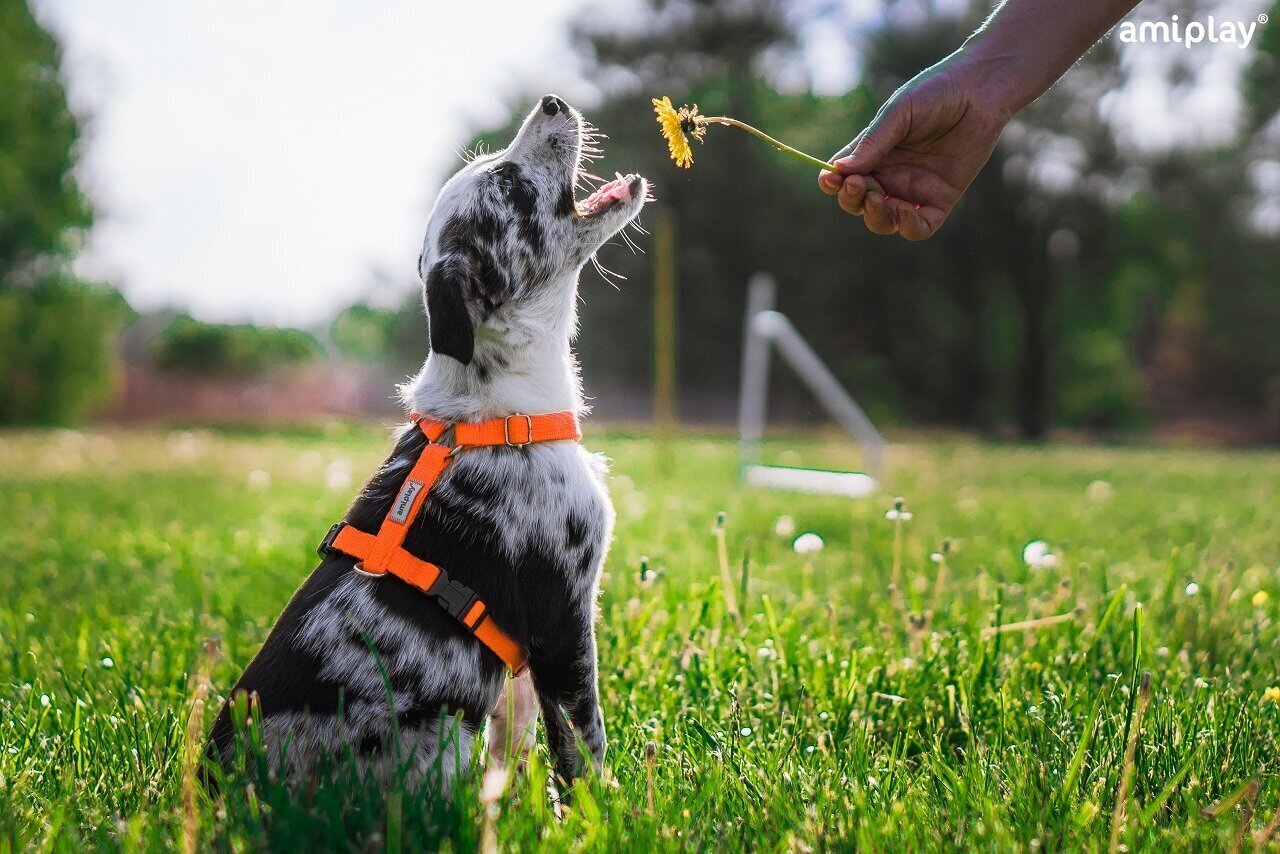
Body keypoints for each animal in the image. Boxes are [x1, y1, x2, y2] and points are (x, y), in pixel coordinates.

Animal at [207, 95, 650, 793]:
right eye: (506, 183)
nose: (551, 100)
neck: (500, 408)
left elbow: (515, 747)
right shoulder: (563, 621)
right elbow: (584, 746)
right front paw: (608, 808)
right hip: (439, 743)